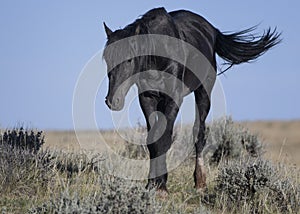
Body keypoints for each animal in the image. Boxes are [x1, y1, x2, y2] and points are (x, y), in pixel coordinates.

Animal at [103, 7, 282, 192]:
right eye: (107, 59)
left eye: (130, 59)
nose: (112, 100)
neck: (160, 53)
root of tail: (212, 30)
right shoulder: (147, 98)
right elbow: (153, 140)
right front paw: (152, 183)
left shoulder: (173, 98)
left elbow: (165, 139)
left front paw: (161, 187)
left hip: (203, 91)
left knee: (199, 133)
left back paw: (200, 182)